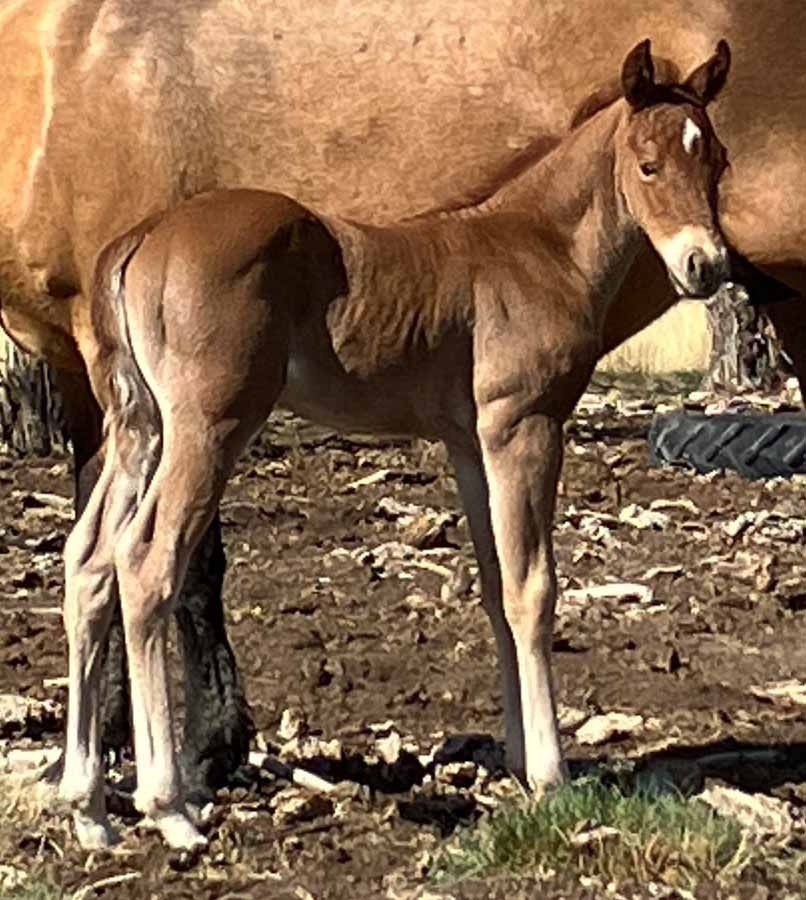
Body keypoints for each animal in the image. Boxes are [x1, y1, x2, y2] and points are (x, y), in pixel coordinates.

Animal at [2, 0, 805, 798]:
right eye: (648, 164)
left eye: (719, 161)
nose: (706, 265)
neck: (535, 248)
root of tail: (142, 241)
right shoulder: (524, 425)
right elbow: (533, 588)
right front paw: (550, 773)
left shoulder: (470, 441)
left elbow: (495, 586)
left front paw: (518, 759)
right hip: (207, 426)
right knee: (146, 562)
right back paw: (166, 796)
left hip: (140, 427)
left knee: (90, 558)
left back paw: (83, 783)